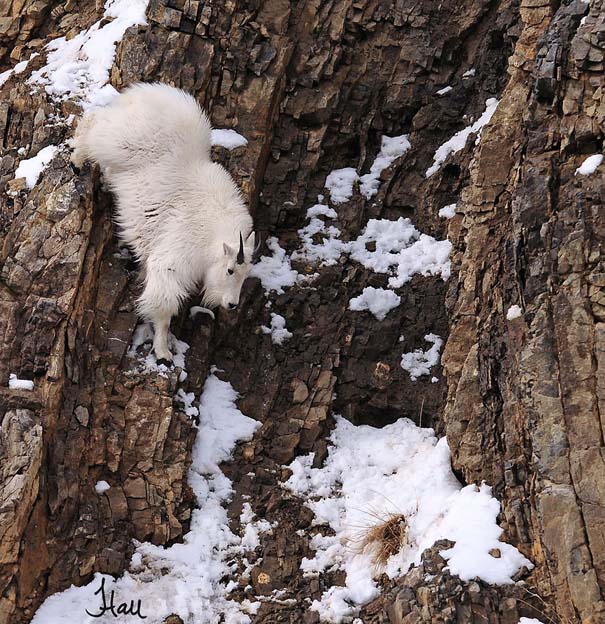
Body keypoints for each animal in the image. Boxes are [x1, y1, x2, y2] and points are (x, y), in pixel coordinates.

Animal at [72, 83, 256, 366]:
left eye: (246, 274)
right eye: (230, 270)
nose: (232, 304)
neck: (212, 237)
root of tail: (144, 93)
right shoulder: (172, 261)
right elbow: (164, 307)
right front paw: (162, 352)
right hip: (120, 140)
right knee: (93, 124)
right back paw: (76, 160)